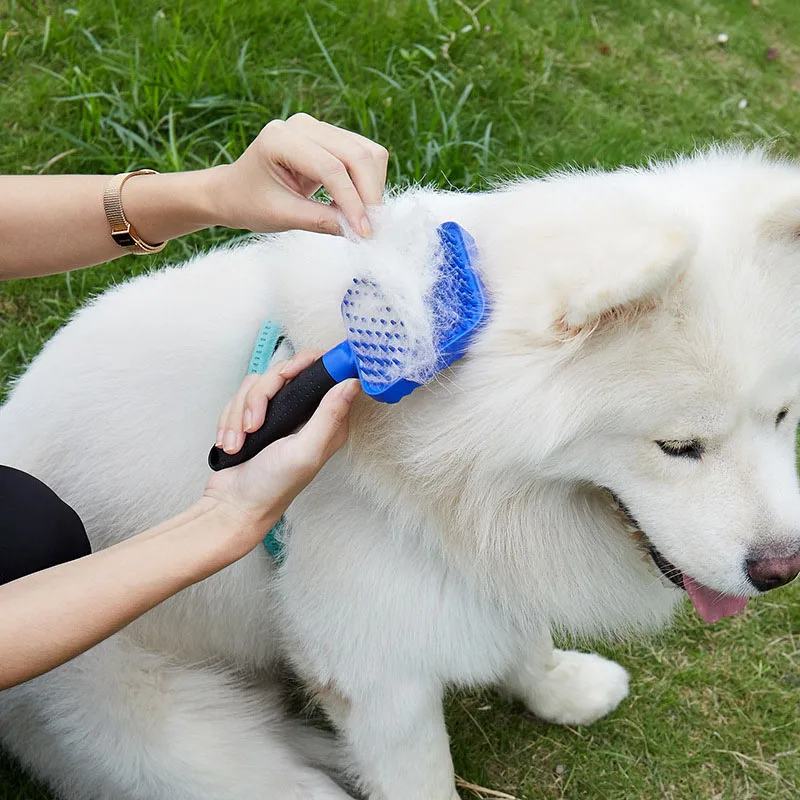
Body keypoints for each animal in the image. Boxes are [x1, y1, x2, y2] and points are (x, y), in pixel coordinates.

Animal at [1, 147, 800, 796]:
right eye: (678, 447)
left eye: (782, 416)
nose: (780, 570)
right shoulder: (375, 674)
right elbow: (425, 779)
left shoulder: (484, 567)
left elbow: (526, 639)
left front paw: (562, 689)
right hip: (202, 747)